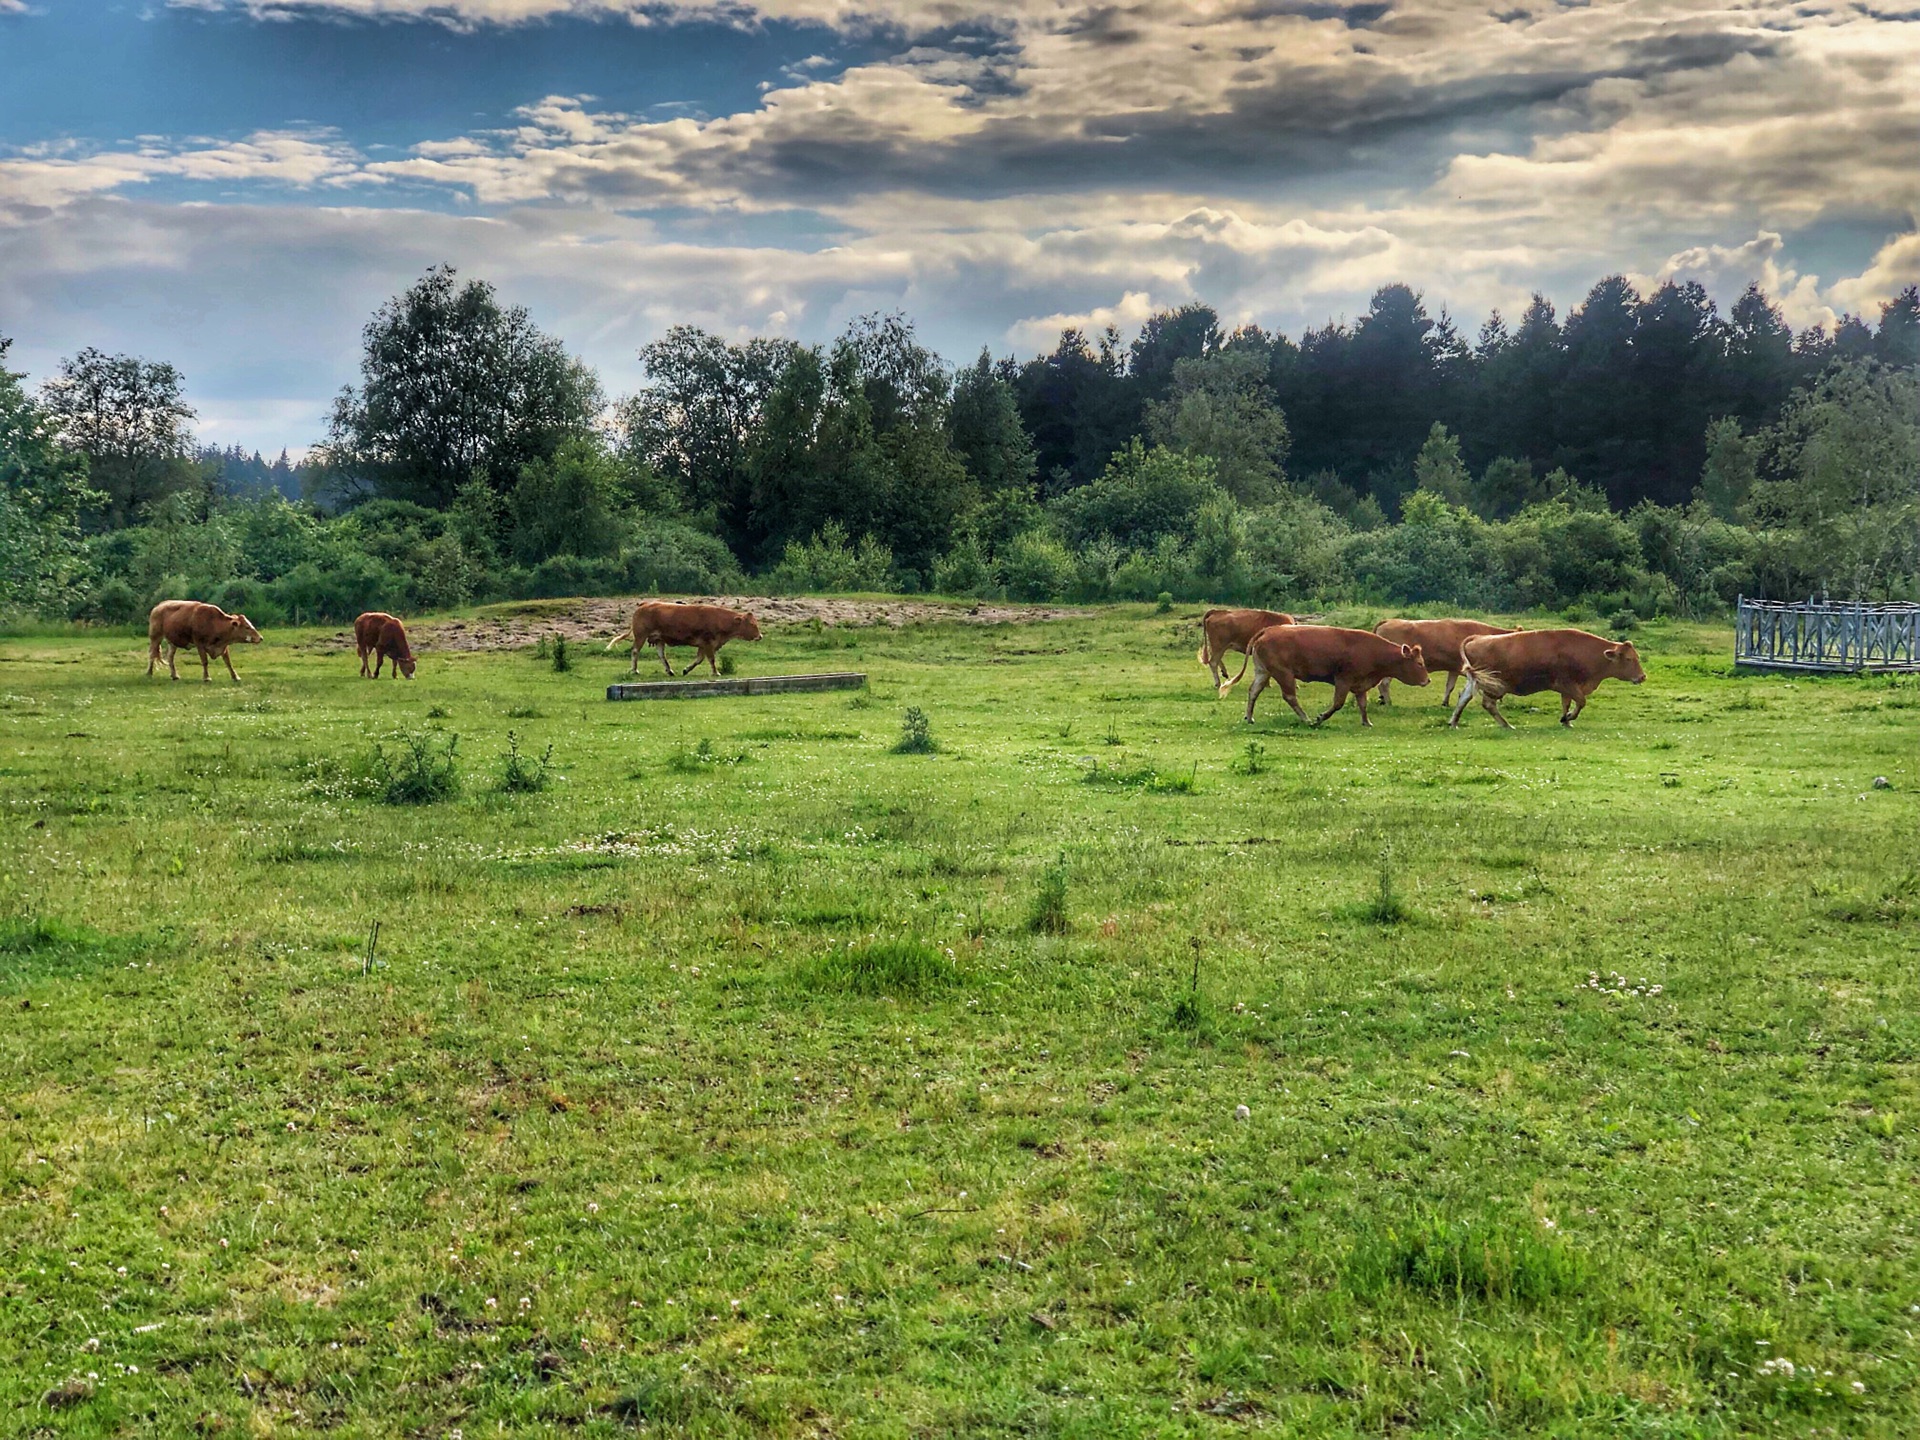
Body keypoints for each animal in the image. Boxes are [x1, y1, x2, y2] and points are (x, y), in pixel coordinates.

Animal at [618, 602, 760, 683]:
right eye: (752, 624)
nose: (760, 636)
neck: (719, 620)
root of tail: (644, 605)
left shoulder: (704, 645)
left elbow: (699, 659)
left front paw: (686, 670)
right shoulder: (708, 643)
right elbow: (711, 659)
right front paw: (716, 672)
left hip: (659, 639)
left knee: (661, 655)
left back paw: (669, 671)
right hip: (641, 636)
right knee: (635, 651)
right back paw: (634, 670)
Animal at [1244, 625, 1428, 725]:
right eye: (1420, 663)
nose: (1428, 680)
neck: (1373, 651)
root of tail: (1267, 631)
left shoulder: (1361, 684)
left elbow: (1363, 704)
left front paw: (1366, 722)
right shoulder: (1343, 681)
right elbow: (1338, 703)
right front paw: (1321, 717)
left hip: (1263, 672)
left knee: (1254, 691)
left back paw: (1250, 717)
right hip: (1284, 675)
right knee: (1290, 697)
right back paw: (1305, 718)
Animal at [1382, 622, 1512, 710]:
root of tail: (1388, 621)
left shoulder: (1454, 670)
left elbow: (1449, 686)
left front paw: (1445, 703)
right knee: (1384, 683)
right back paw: (1388, 702)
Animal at [1451, 629, 1651, 733]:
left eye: (1636, 657)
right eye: (1628, 659)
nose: (1642, 677)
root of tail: (1477, 638)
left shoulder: (1568, 689)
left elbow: (1567, 703)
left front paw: (1566, 721)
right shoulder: (1568, 685)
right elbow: (1581, 702)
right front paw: (1567, 717)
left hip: (1475, 681)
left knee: (1464, 698)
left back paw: (1454, 722)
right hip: (1494, 686)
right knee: (1488, 704)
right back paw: (1506, 725)